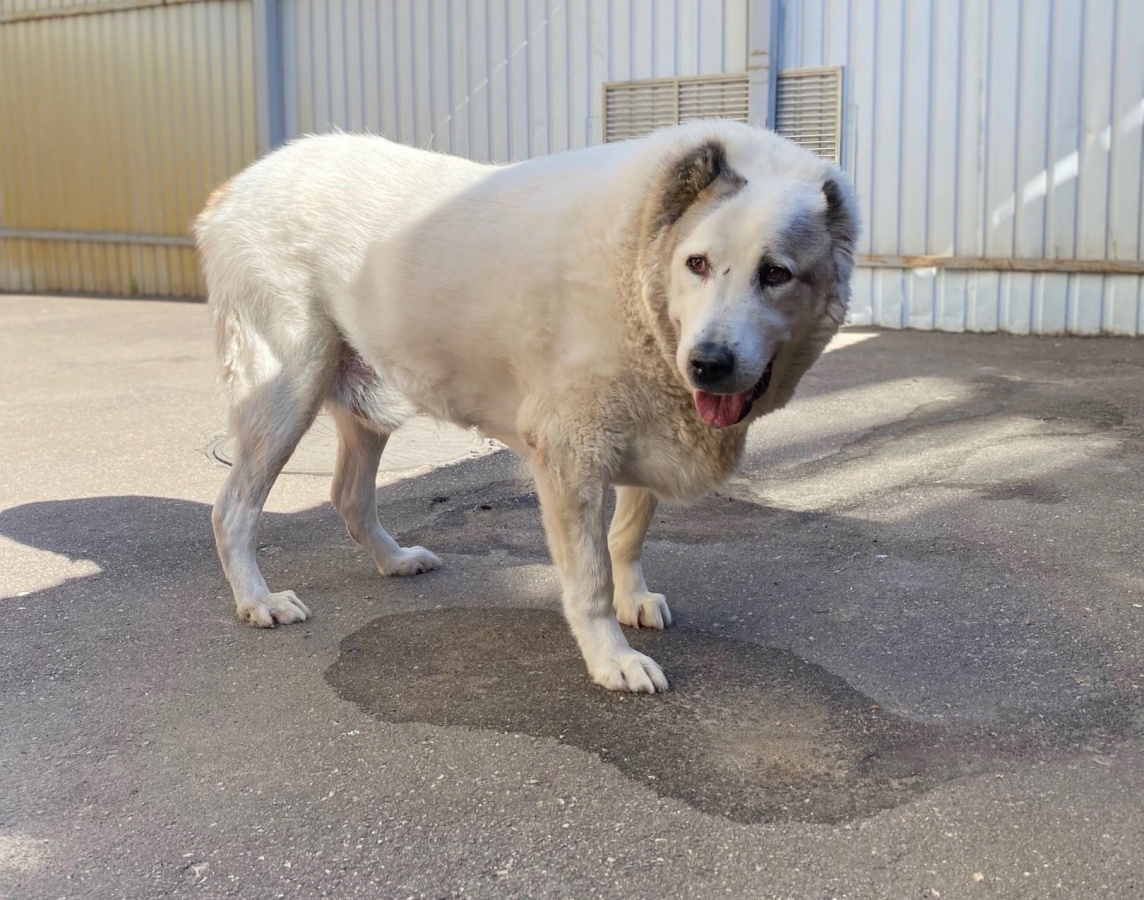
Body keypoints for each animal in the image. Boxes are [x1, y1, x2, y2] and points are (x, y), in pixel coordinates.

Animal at [199, 119, 860, 695]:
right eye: (696, 263)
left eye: (775, 273)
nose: (708, 364)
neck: (637, 253)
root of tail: (239, 184)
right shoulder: (571, 454)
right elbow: (590, 578)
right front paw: (612, 659)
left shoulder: (649, 421)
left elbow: (629, 534)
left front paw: (633, 598)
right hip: (286, 390)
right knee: (233, 508)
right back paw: (258, 600)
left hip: (364, 405)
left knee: (348, 497)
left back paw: (394, 561)